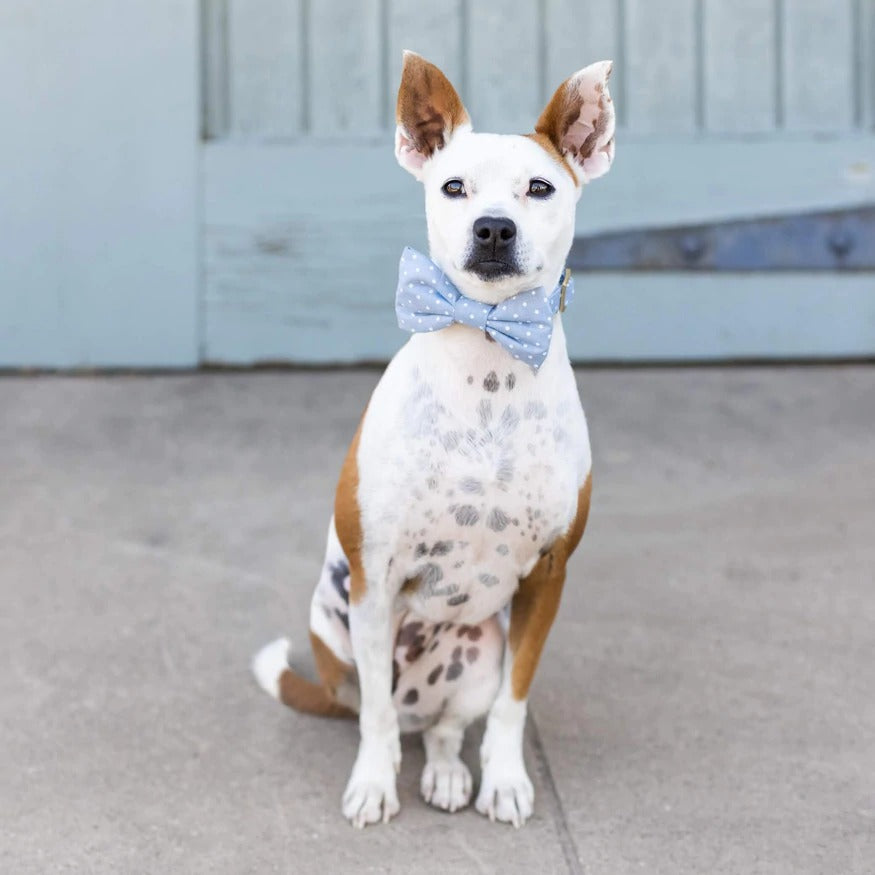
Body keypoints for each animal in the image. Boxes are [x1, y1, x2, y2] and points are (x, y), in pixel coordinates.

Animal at [253, 51, 616, 832]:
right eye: (454, 186)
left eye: (539, 187)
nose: (492, 228)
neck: (488, 362)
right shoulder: (377, 581)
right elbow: (377, 722)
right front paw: (371, 784)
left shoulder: (546, 579)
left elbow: (512, 706)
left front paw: (504, 779)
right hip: (341, 632)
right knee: (387, 713)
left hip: (476, 652)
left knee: (446, 728)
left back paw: (449, 772)